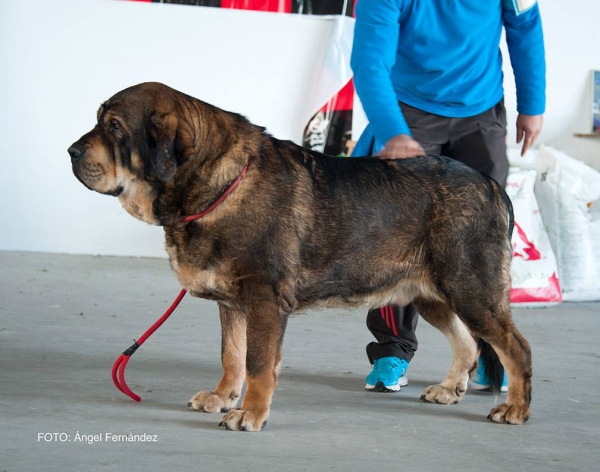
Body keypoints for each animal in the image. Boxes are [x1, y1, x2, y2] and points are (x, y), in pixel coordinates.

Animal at [68, 82, 532, 432]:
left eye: (114, 127)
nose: (71, 151)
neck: (219, 184)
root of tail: (493, 186)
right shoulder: (232, 304)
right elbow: (231, 356)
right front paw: (222, 396)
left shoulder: (265, 301)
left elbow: (257, 363)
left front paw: (250, 413)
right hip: (429, 294)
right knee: (467, 341)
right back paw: (450, 388)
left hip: (469, 288)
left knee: (515, 346)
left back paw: (515, 407)